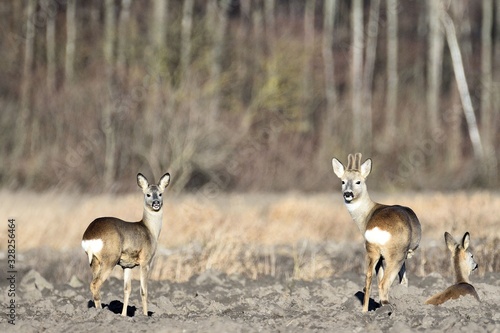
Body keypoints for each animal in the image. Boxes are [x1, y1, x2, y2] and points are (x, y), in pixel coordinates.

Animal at [80, 172, 170, 316]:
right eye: (148, 194)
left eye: (160, 194)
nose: (156, 203)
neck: (150, 230)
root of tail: (90, 235)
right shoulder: (145, 261)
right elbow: (144, 291)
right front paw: (145, 316)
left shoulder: (127, 265)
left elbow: (127, 289)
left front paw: (123, 315)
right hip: (110, 259)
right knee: (95, 284)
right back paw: (100, 313)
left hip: (94, 261)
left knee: (95, 284)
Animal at [332, 153, 422, 312]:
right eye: (343, 181)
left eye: (358, 182)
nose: (348, 194)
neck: (368, 214)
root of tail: (377, 229)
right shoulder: (404, 254)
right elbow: (403, 280)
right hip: (396, 254)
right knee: (384, 282)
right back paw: (387, 308)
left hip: (372, 251)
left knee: (368, 279)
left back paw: (365, 311)